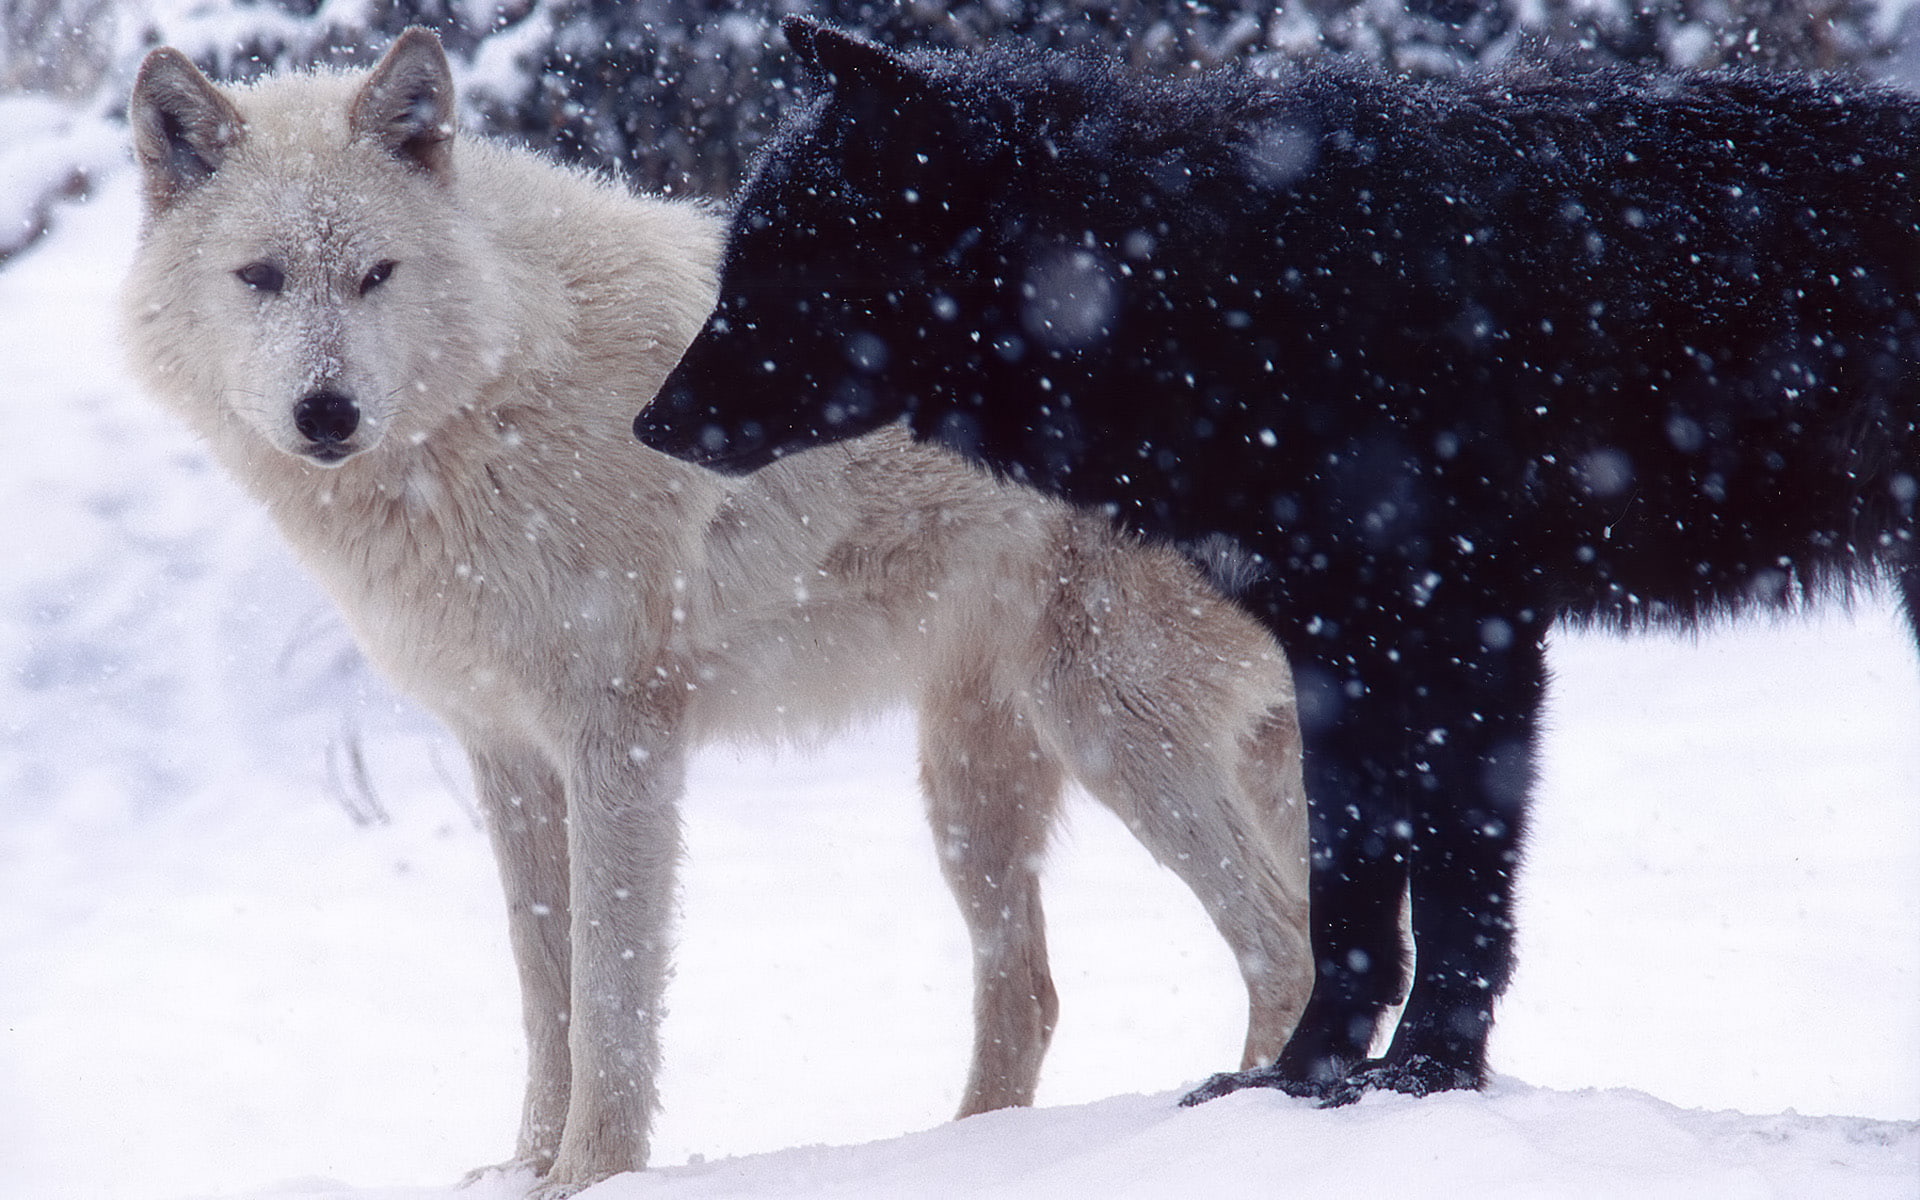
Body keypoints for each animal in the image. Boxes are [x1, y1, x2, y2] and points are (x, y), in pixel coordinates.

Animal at [122, 28, 1312, 1197]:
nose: (326, 412)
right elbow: (543, 987)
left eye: (376, 275)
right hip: (977, 786)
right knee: (1039, 994)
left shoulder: (622, 740)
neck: (496, 398)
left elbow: (608, 996)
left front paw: (587, 1176)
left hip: (1110, 731)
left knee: (1283, 952)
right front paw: (523, 1168)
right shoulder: (506, 753)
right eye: (261, 277)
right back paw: (972, 1156)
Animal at [636, 21, 1920, 1107]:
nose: (648, 425)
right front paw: (1302, 1083)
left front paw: (1426, 1077)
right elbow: (1348, 897)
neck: (1217, 285)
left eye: (778, 269)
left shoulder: (1469, 636)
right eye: (735, 266)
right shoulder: (1340, 650)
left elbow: (1453, 889)